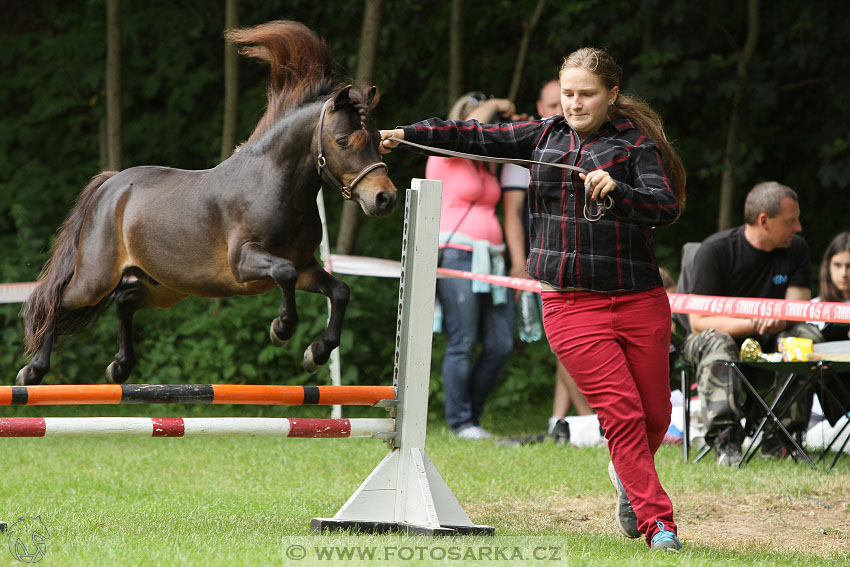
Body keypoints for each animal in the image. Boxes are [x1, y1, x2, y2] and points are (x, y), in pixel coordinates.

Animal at [14, 21, 396, 386]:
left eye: (377, 138)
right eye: (343, 140)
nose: (385, 198)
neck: (275, 188)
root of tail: (111, 184)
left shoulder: (306, 267)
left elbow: (340, 291)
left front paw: (315, 353)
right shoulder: (246, 263)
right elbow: (284, 274)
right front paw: (282, 330)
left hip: (167, 286)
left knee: (125, 301)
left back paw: (120, 368)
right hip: (96, 280)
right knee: (53, 301)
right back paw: (33, 372)